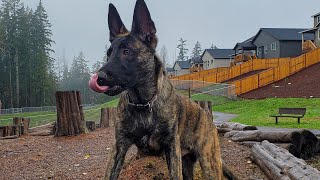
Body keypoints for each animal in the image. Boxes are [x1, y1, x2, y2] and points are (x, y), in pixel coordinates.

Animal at [87, 0, 222, 179]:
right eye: (109, 54)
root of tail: (207, 117)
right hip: (187, 165)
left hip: (209, 164)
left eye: (126, 52)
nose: (98, 78)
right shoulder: (119, 145)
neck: (143, 103)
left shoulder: (172, 148)